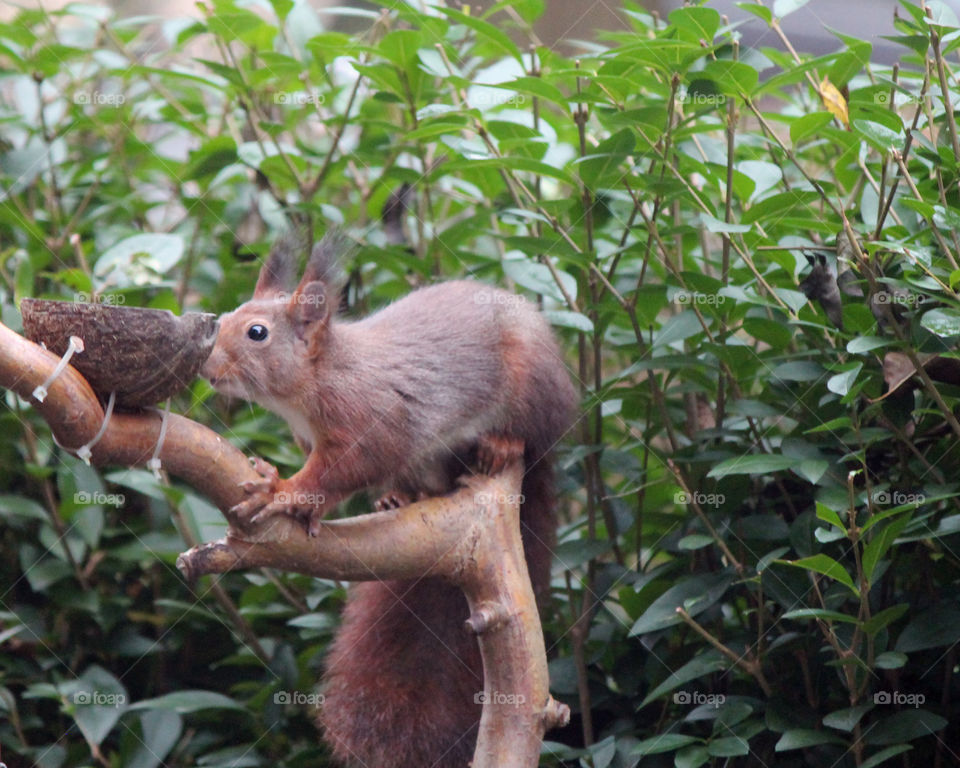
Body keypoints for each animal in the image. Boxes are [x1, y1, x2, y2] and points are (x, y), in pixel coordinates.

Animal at [201, 232, 577, 767]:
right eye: (227, 316)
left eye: (257, 333)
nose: (206, 365)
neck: (312, 384)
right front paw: (301, 499)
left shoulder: (369, 418)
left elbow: (347, 467)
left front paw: (283, 490)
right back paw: (398, 499)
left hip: (535, 391)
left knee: (532, 434)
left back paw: (503, 446)